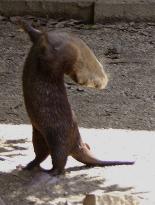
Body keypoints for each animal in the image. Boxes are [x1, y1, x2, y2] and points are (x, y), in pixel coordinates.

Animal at [20, 20, 134, 175]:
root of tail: (77, 141)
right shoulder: (43, 39)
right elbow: (36, 34)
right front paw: (25, 24)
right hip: (39, 134)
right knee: (41, 154)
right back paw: (29, 166)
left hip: (57, 137)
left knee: (59, 160)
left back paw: (50, 171)